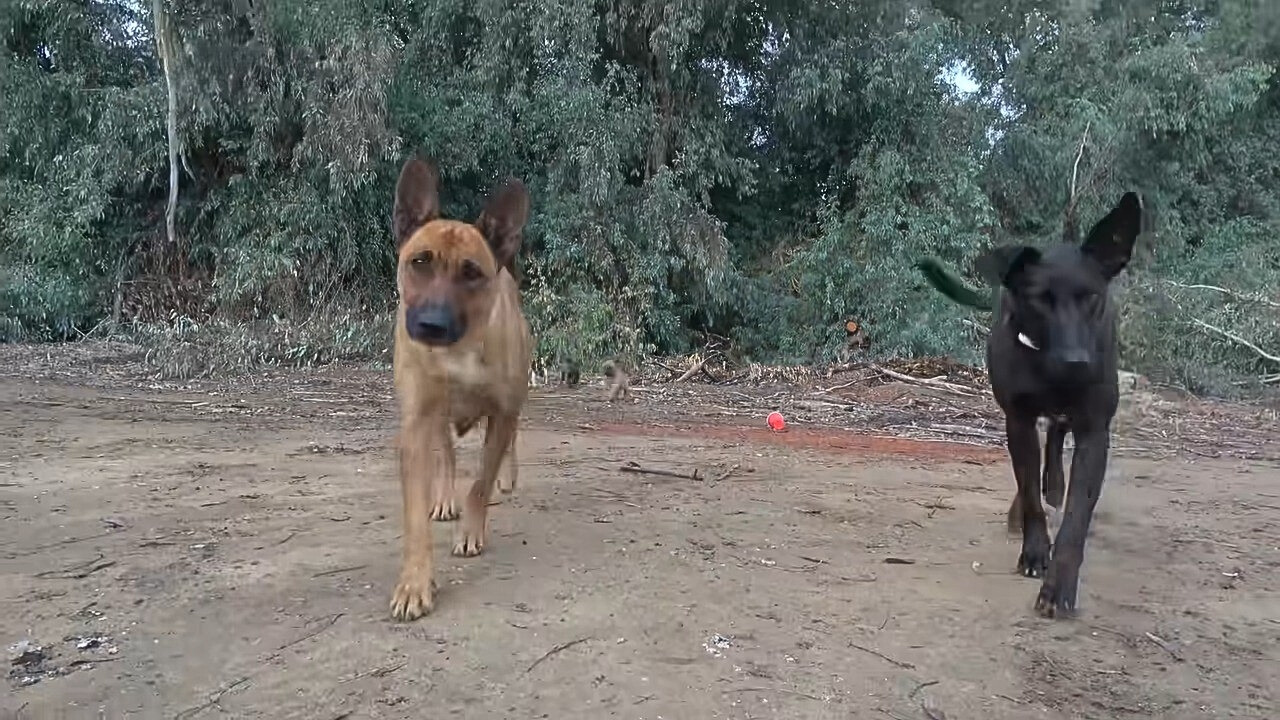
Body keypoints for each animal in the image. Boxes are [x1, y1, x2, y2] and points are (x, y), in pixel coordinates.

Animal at [386, 155, 532, 617]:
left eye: (471, 273)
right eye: (420, 262)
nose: (431, 324)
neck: (460, 349)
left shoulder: (503, 413)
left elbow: (481, 480)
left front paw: (471, 529)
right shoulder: (417, 422)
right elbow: (416, 517)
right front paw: (415, 582)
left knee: (508, 448)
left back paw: (506, 480)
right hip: (437, 419)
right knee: (447, 458)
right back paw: (445, 499)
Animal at [921, 192, 1141, 617]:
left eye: (1092, 297)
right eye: (1040, 300)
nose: (1076, 362)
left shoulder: (1094, 428)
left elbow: (1076, 517)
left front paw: (1059, 586)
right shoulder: (1017, 420)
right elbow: (1029, 493)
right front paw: (1035, 553)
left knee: (1056, 437)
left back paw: (1053, 483)